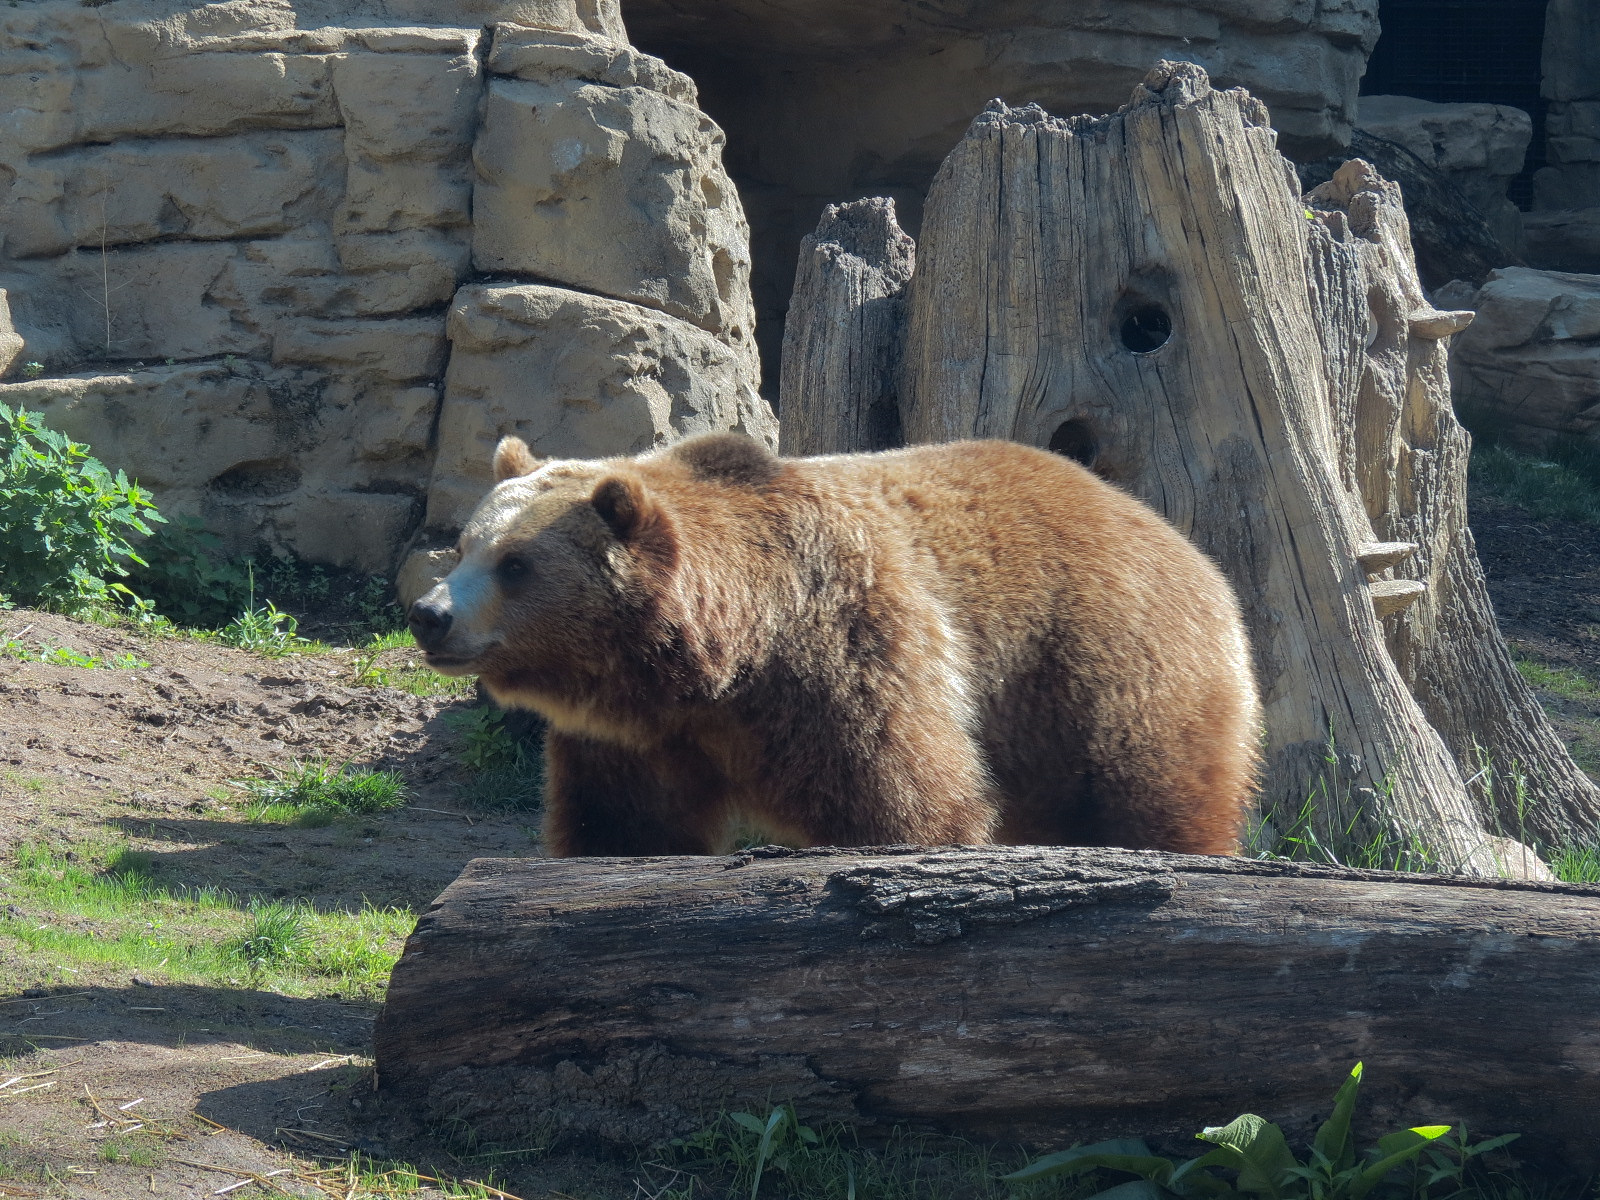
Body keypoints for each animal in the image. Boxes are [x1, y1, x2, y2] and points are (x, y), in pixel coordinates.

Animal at [409, 432, 1261, 857]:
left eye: (516, 564)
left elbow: (904, 801)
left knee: (1152, 792)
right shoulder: (636, 736)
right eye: (467, 546)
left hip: (1105, 665)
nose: (429, 614)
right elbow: (625, 826)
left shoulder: (845, 656)